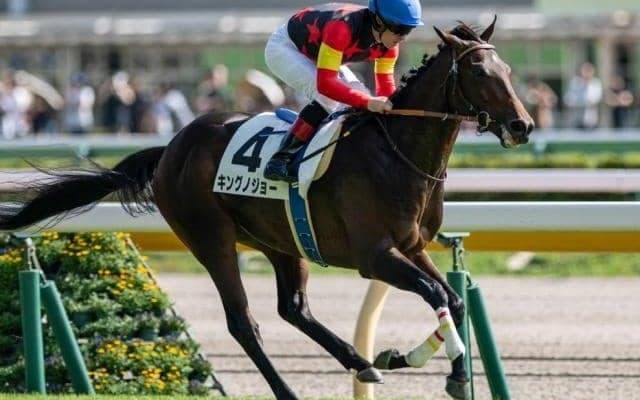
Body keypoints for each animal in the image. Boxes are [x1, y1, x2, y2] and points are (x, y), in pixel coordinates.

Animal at [0, 19, 533, 400]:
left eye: (508, 71)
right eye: (480, 72)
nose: (523, 126)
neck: (396, 152)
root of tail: (171, 148)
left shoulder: (413, 246)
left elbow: (452, 299)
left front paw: (435, 368)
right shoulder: (375, 256)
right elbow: (436, 293)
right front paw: (417, 360)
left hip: (280, 241)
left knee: (293, 307)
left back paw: (360, 363)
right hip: (210, 238)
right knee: (244, 322)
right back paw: (291, 390)